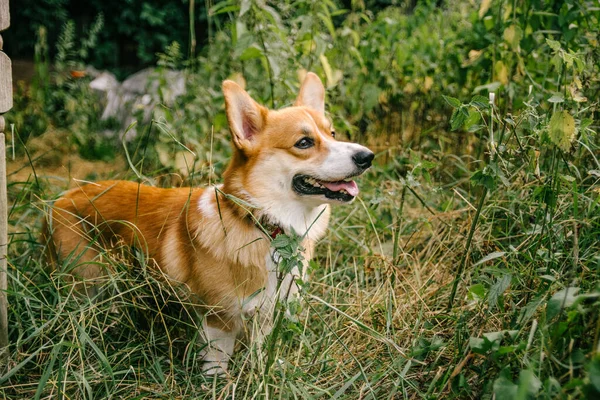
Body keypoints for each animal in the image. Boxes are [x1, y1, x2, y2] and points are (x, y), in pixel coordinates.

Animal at [44, 72, 376, 376]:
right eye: (304, 142)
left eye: (332, 133)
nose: (367, 157)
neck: (261, 225)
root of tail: (61, 199)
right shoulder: (219, 317)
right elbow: (218, 361)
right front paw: (218, 382)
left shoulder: (266, 313)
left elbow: (259, 350)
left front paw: (261, 370)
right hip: (87, 284)